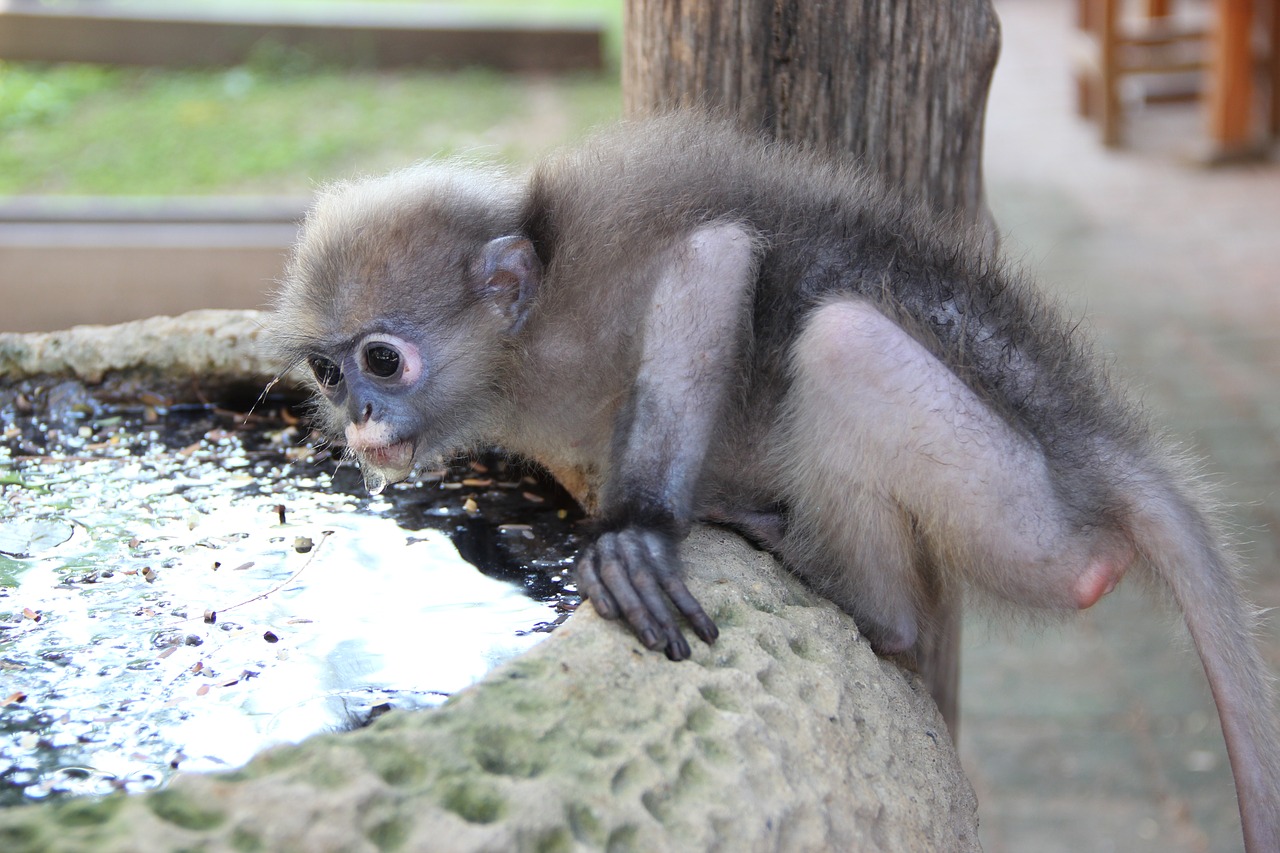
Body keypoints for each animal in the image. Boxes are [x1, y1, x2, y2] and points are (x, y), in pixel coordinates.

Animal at [264, 114, 1274, 850]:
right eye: (327, 372)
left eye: (382, 359)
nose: (359, 416)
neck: (517, 354)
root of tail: (1091, 436)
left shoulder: (596, 284)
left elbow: (713, 257)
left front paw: (635, 536)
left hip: (1022, 516)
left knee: (843, 344)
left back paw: (859, 599)